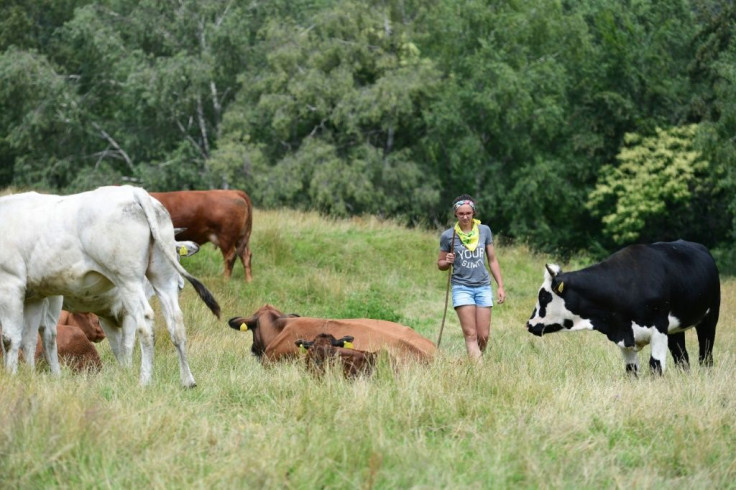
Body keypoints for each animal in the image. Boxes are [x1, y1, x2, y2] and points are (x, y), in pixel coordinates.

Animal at [528, 241, 720, 376]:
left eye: (543, 297)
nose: (529, 324)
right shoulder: (624, 334)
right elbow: (631, 370)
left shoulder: (658, 328)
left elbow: (655, 366)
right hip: (675, 330)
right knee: (682, 358)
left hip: (710, 318)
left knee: (706, 355)